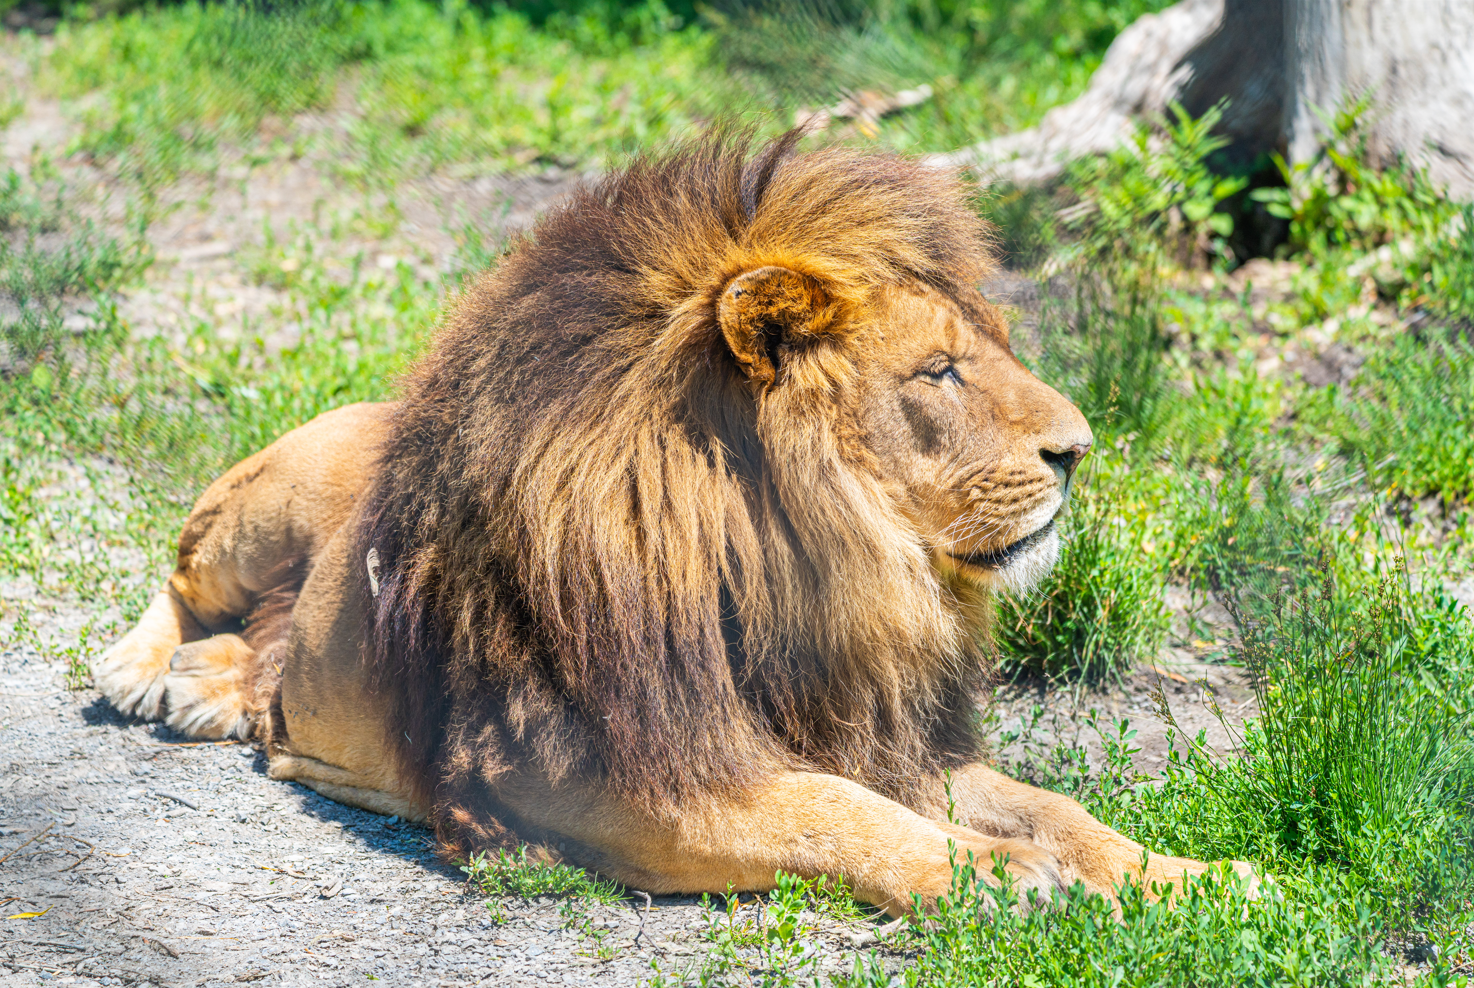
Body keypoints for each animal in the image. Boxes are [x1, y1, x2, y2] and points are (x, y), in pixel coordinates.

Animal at [96, 132, 1251, 915]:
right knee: (181, 574)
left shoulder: (876, 735)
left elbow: (1056, 807)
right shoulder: (611, 782)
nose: (1080, 448)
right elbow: (837, 813)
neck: (810, 575)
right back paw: (142, 673)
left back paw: (217, 690)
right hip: (277, 492)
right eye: (939, 372)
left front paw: (1210, 876)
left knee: (263, 642)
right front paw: (1006, 876)